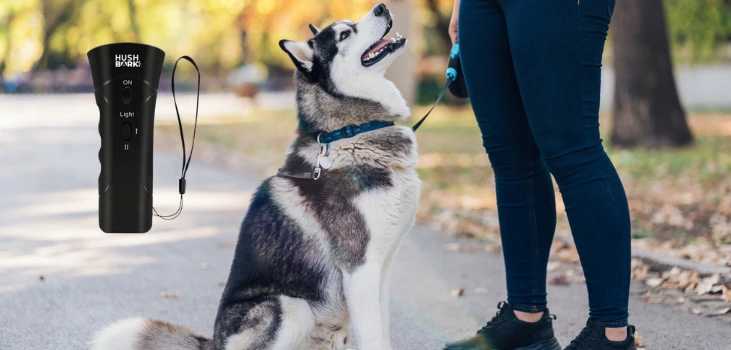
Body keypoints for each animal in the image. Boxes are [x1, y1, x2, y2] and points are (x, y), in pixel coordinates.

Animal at [93, 2, 418, 350]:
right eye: (345, 34)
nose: (382, 7)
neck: (350, 132)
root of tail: (214, 340)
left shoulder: (381, 269)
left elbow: (383, 331)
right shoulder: (360, 270)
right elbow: (373, 336)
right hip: (291, 306)